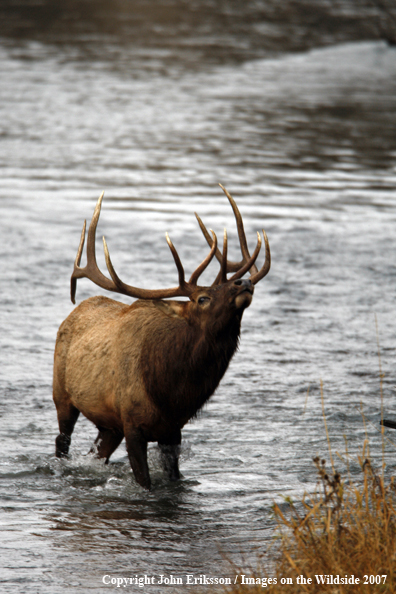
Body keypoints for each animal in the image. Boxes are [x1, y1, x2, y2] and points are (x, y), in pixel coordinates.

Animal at [53, 185, 270, 486]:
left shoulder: (172, 429)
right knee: (61, 441)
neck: (171, 393)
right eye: (203, 298)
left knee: (97, 451)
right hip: (62, 394)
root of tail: (76, 310)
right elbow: (145, 483)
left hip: (109, 423)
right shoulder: (133, 424)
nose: (245, 281)